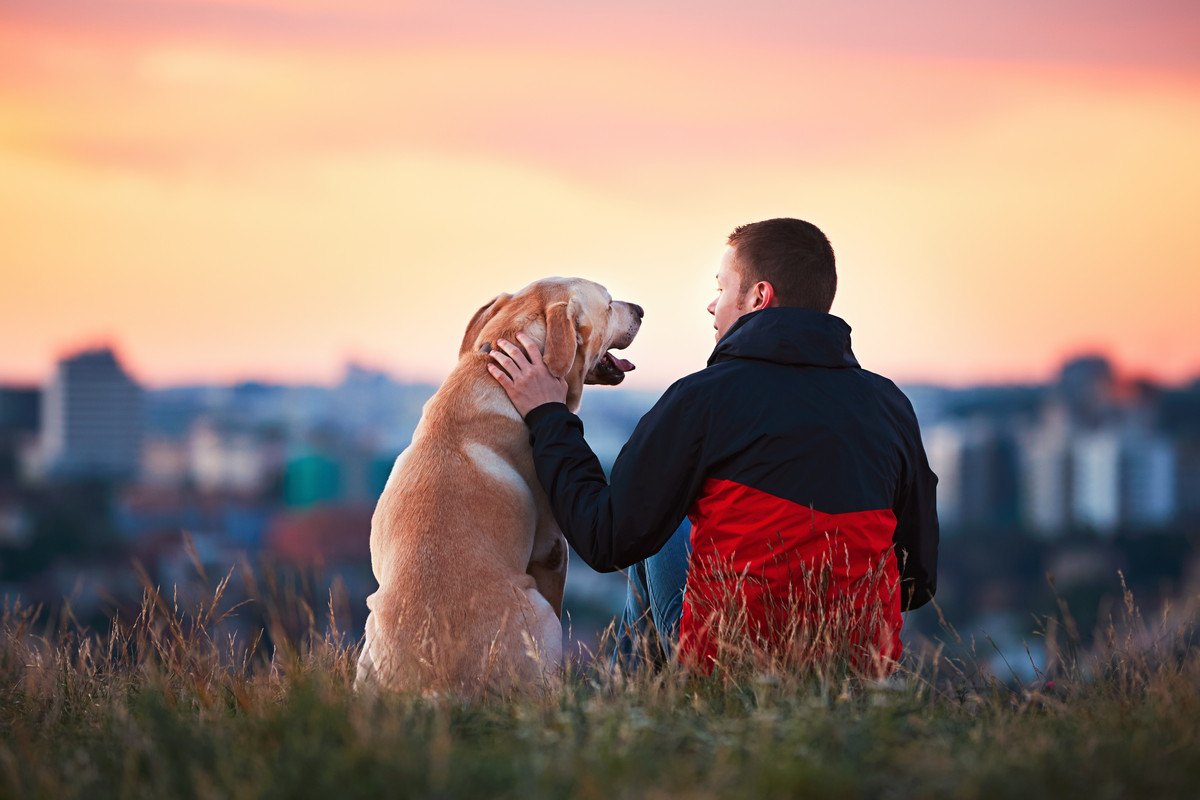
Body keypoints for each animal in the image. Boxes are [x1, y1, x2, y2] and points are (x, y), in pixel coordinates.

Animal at [352, 278, 643, 695]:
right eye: (607, 304)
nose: (640, 310)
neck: (490, 372)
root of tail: (435, 685)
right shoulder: (553, 549)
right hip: (539, 614)